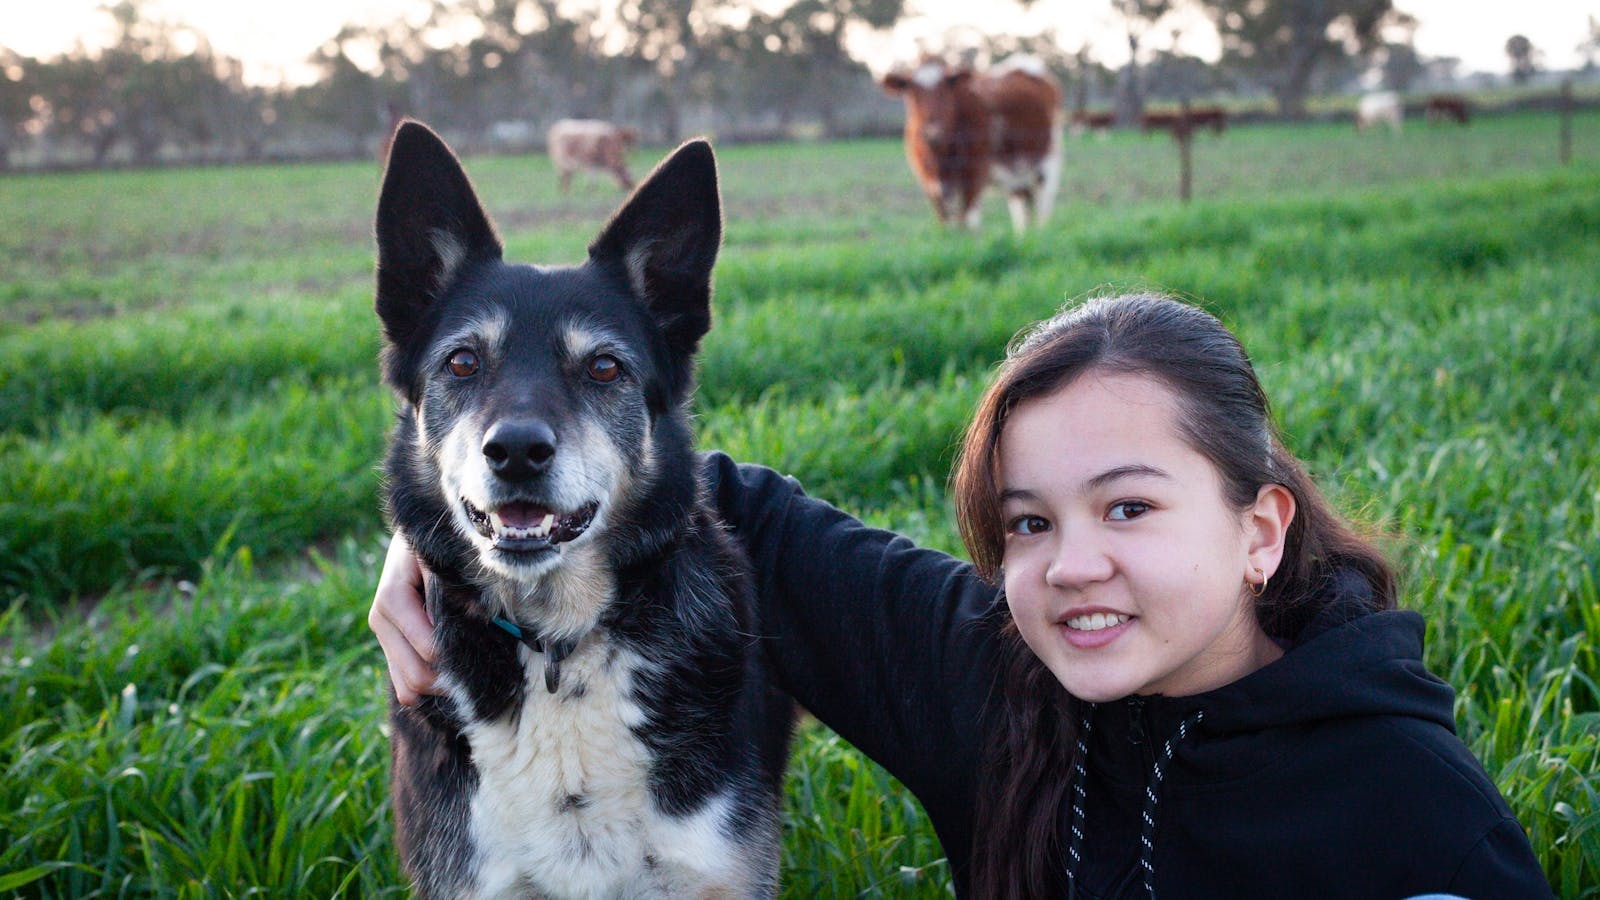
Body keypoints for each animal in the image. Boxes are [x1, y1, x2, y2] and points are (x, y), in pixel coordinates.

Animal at [876, 56, 1062, 230]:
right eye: (912, 90)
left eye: (945, 89)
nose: (932, 128)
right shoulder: (929, 181)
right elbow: (945, 221)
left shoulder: (975, 173)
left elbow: (967, 221)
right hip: (1017, 177)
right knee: (1022, 214)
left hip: (1047, 166)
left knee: (1042, 213)